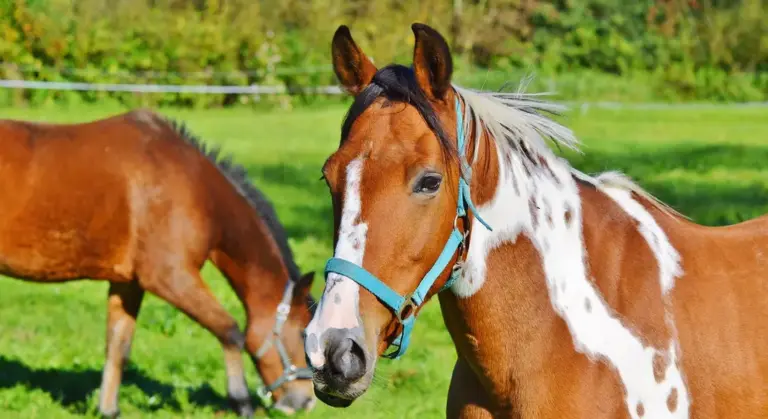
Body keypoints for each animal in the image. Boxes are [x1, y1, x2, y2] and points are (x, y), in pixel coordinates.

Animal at [0, 109, 317, 418]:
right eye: (304, 334)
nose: (305, 402)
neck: (195, 187)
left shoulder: (128, 283)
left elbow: (118, 346)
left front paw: (108, 410)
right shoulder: (170, 278)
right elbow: (230, 330)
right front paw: (241, 402)